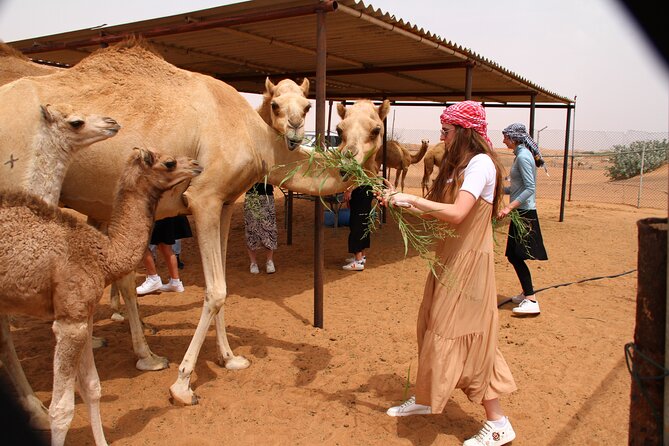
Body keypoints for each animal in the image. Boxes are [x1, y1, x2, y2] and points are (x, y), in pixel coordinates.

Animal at [0, 38, 351, 407]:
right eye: (277, 105)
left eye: (307, 107)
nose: (296, 131)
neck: (251, 134)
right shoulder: (204, 197)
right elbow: (216, 290)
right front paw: (182, 384)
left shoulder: (225, 202)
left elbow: (218, 284)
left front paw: (229, 358)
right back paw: (36, 400)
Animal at [0, 148, 203, 446]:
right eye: (169, 162)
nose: (197, 164)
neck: (103, 255)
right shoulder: (70, 321)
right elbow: (61, 409)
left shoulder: (83, 315)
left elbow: (92, 387)